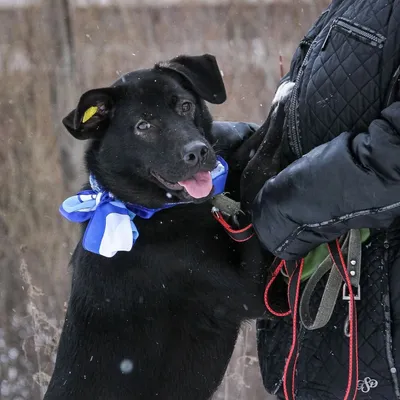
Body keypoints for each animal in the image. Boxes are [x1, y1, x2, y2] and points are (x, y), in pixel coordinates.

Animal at [43, 54, 268, 400]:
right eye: (143, 126)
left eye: (185, 106)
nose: (197, 151)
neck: (148, 213)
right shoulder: (251, 289)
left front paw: (235, 132)